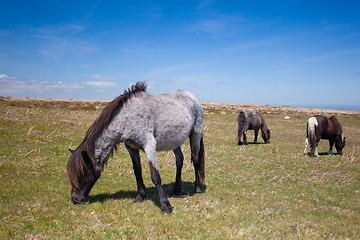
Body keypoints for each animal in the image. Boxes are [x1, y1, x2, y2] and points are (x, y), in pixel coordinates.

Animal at [66, 81, 204, 214]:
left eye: (81, 174)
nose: (75, 199)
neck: (127, 117)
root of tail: (192, 97)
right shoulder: (131, 148)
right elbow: (137, 171)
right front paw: (140, 196)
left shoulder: (149, 146)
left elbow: (155, 176)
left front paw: (165, 206)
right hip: (174, 141)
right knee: (179, 160)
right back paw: (176, 190)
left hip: (196, 135)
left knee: (196, 160)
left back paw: (197, 188)